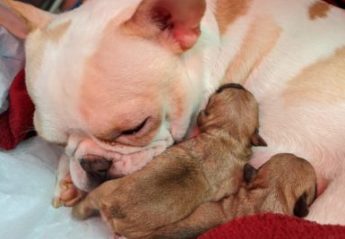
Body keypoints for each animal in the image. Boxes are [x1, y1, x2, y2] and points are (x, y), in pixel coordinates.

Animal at [72, 83, 266, 237]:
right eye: (220, 91)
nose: (237, 84)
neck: (228, 135)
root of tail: (113, 209)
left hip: (104, 190)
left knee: (85, 205)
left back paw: (76, 211)